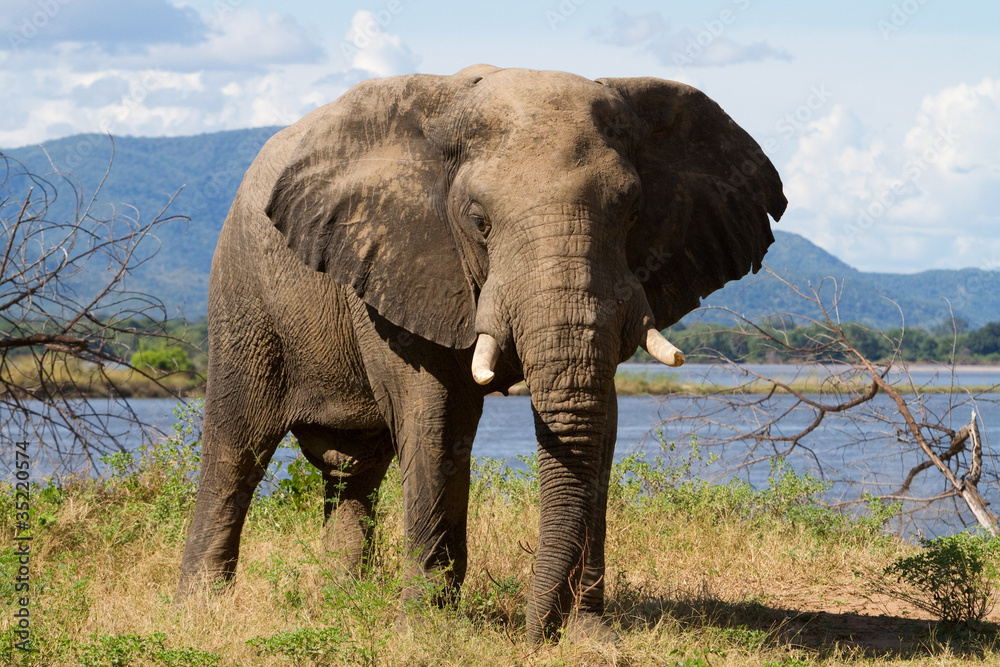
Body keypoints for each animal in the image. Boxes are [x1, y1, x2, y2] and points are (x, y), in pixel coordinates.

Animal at [176, 64, 786, 643]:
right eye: (478, 220)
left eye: (633, 212)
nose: (536, 636)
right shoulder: (404, 262)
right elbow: (436, 419)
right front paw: (426, 632)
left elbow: (602, 421)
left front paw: (592, 637)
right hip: (242, 290)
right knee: (237, 445)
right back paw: (203, 606)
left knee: (352, 469)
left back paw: (341, 601)